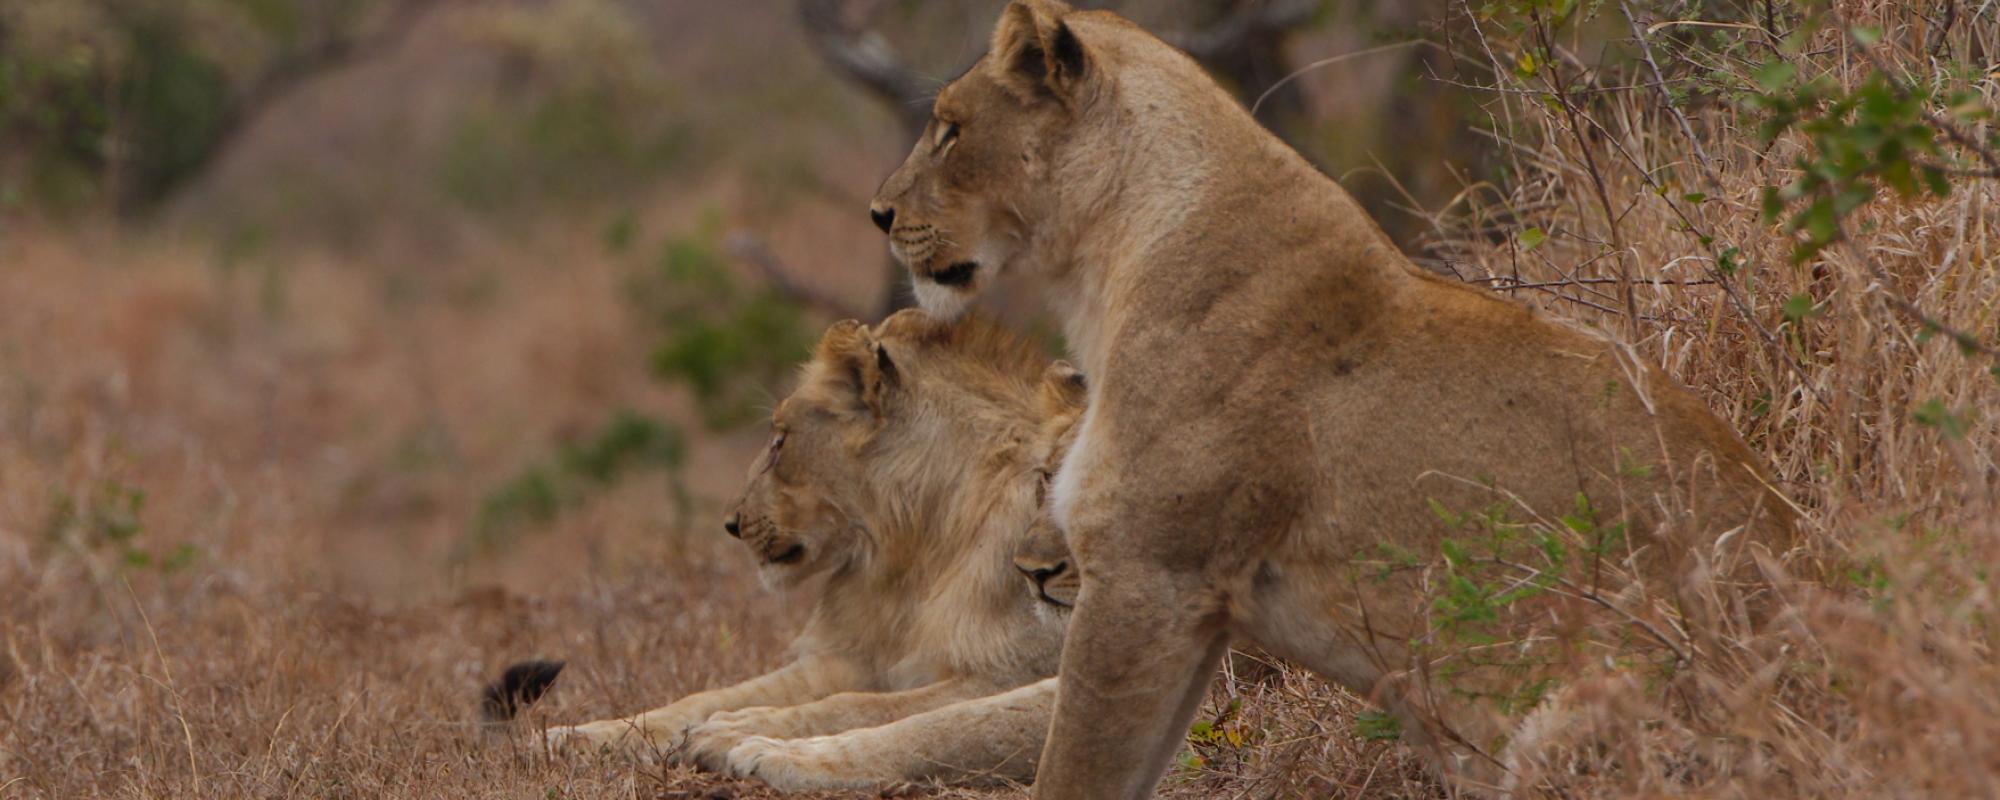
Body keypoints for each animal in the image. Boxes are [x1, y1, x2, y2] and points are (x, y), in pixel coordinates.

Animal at [540, 310, 1088, 792]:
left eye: (780, 441)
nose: (732, 523)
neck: (920, 550)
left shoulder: (1010, 671)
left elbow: (878, 710)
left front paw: (738, 734)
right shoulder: (858, 657)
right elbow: (717, 695)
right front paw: (582, 735)